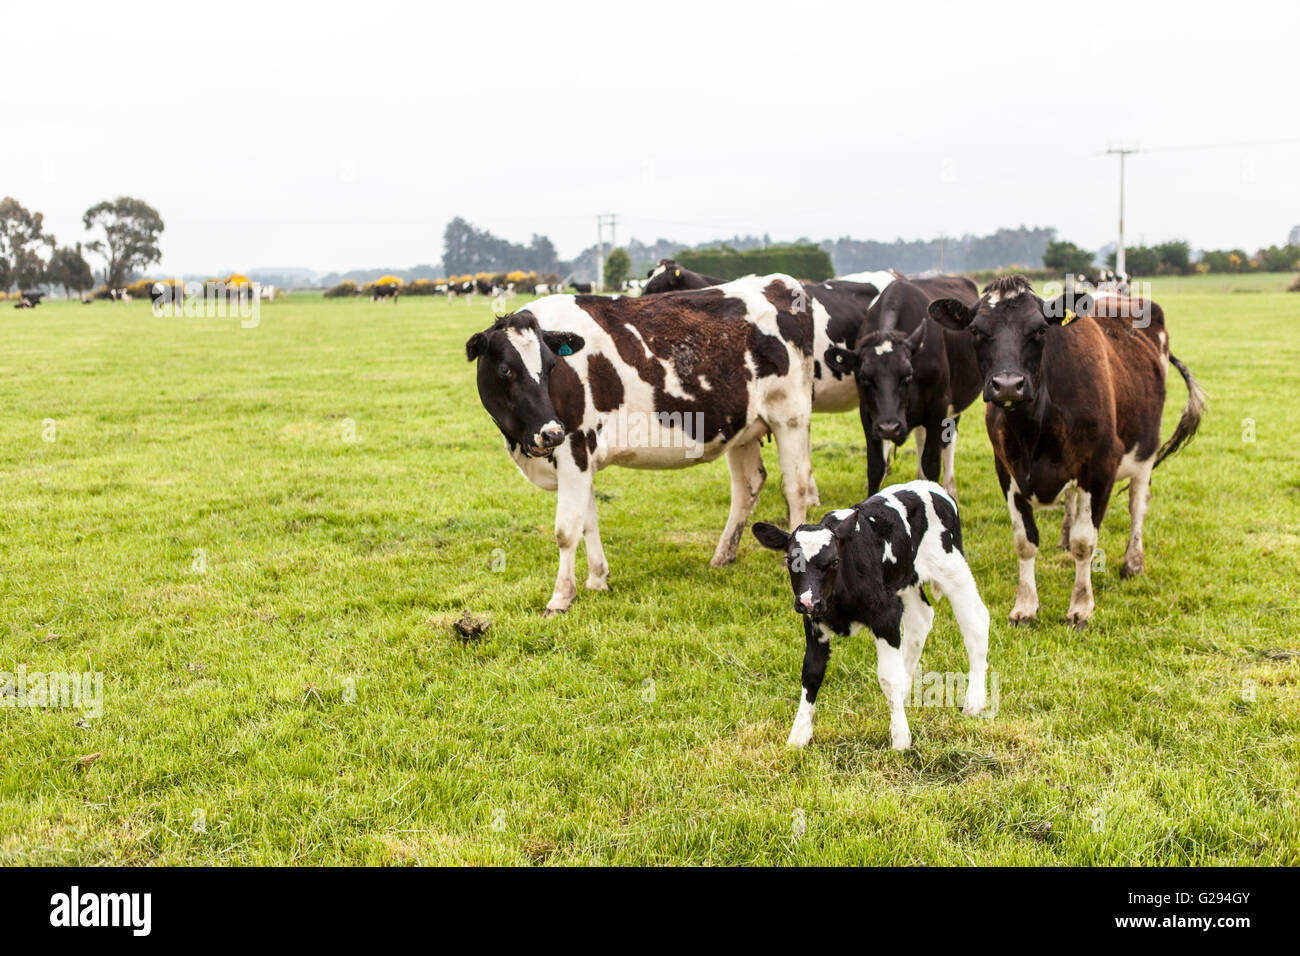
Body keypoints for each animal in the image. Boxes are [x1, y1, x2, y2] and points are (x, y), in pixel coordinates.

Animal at [465, 273, 811, 616]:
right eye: (506, 369)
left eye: (551, 367)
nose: (551, 433)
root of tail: (781, 282)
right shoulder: (583, 458)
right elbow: (588, 521)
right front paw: (597, 579)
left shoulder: (575, 449)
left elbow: (566, 531)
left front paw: (561, 598)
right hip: (744, 428)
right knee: (748, 486)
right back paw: (723, 556)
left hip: (791, 417)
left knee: (796, 486)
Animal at [754, 481, 982, 749]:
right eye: (791, 561)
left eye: (834, 561)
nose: (808, 601)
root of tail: (933, 487)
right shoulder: (815, 623)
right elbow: (811, 674)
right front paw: (798, 736)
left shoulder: (886, 616)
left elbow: (888, 677)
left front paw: (900, 738)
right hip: (906, 581)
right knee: (921, 620)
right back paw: (906, 694)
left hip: (953, 568)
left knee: (976, 623)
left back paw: (975, 702)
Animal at [826, 274, 977, 496]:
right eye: (864, 377)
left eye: (907, 376)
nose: (889, 427)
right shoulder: (868, 413)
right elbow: (876, 466)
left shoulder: (939, 406)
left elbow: (931, 463)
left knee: (948, 442)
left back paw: (950, 488)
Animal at [930, 274, 1201, 629]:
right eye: (976, 330)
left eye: (1040, 330)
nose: (1007, 385)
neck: (1034, 428)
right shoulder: (1006, 469)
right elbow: (1025, 541)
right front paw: (1025, 605)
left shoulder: (1100, 468)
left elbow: (1085, 543)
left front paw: (1081, 607)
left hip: (1146, 451)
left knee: (1137, 505)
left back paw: (1132, 562)